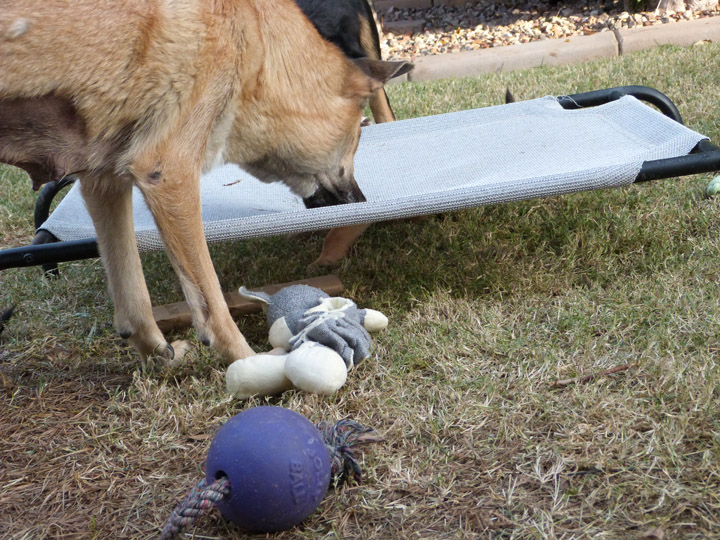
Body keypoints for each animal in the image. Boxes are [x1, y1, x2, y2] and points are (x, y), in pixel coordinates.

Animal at [0, 1, 408, 362]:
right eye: (357, 138)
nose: (361, 203)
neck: (250, 39)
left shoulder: (103, 181)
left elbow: (132, 292)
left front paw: (159, 355)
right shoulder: (170, 173)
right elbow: (212, 300)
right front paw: (249, 362)